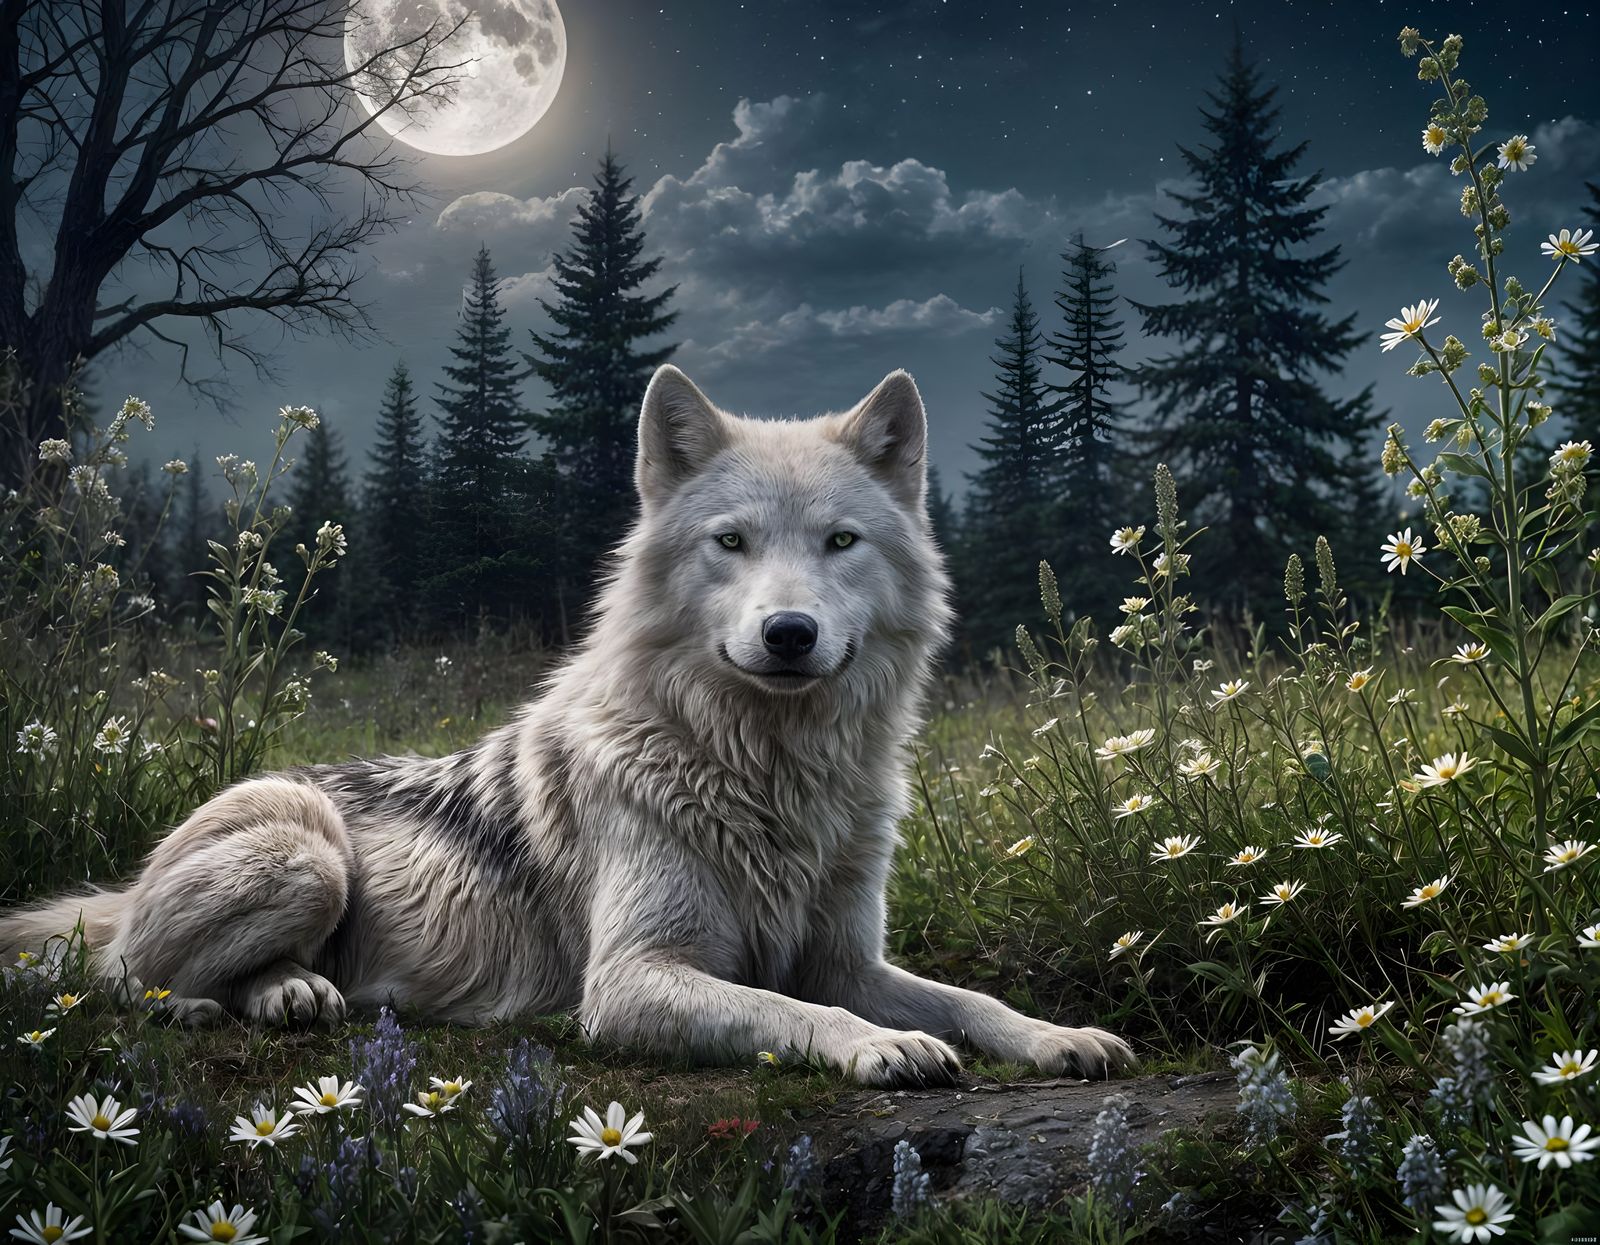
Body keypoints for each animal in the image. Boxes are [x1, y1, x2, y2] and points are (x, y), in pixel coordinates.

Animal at [1, 366, 1133, 1086]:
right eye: (731, 542)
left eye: (840, 542)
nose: (789, 632)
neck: (767, 773)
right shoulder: (629, 982)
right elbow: (798, 1011)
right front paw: (878, 1049)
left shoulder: (848, 959)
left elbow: (967, 1000)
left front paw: (1061, 1036)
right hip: (304, 855)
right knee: (124, 976)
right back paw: (231, 1000)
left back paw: (292, 994)